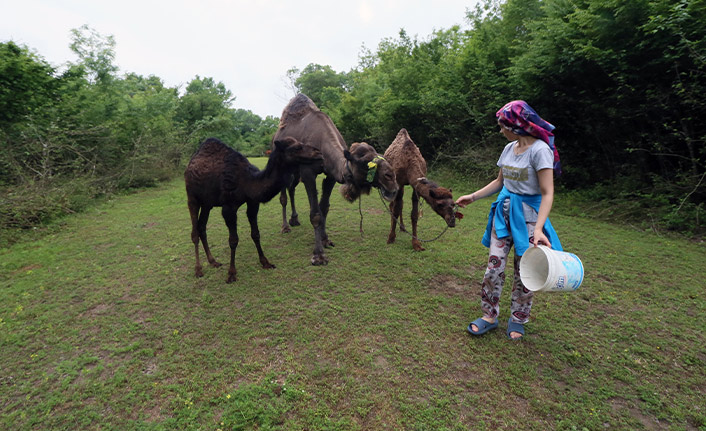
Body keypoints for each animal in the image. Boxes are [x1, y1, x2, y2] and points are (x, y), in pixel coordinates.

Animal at [184, 136, 322, 284]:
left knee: (202, 227)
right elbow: (233, 240)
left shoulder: (253, 203)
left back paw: (213, 261)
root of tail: (189, 165)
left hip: (207, 203)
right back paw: (198, 270)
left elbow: (255, 234)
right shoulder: (228, 207)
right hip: (192, 197)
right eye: (297, 148)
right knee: (194, 232)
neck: (247, 182)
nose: (318, 152)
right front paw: (231, 273)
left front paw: (265, 262)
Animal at [272, 93, 398, 264]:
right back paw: (285, 227)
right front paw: (318, 255)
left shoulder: (331, 175)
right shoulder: (307, 172)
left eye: (380, 155)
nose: (391, 179)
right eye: (365, 163)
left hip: (295, 171)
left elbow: (324, 207)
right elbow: (315, 214)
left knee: (292, 189)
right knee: (284, 196)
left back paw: (295, 220)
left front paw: (325, 240)